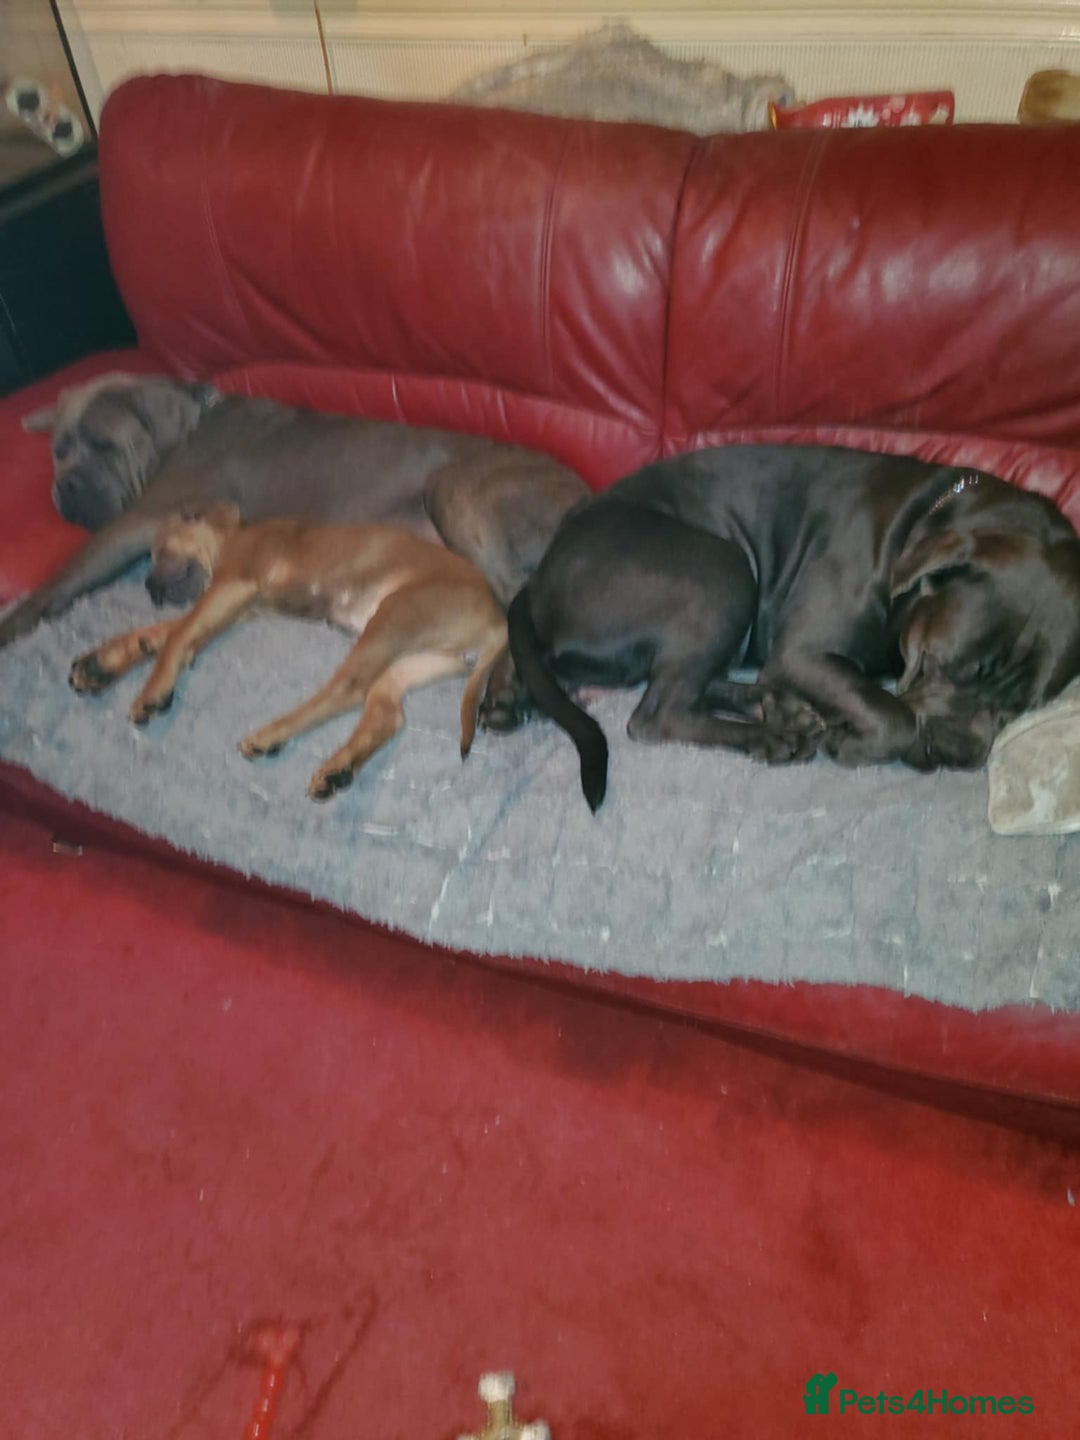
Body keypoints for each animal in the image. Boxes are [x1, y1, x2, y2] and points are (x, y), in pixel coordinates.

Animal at [0, 373, 587, 648]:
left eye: (102, 443)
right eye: (59, 449)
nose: (67, 488)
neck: (183, 429)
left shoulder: (136, 518)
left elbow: (62, 575)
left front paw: (15, 622)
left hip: (454, 489)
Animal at [69, 505, 508, 801]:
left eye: (160, 549)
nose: (148, 588)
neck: (235, 534)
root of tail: (497, 618)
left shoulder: (233, 584)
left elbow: (177, 637)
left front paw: (151, 690)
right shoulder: (239, 607)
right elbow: (168, 633)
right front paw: (102, 663)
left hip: (394, 617)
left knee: (345, 690)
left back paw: (271, 734)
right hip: (416, 660)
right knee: (387, 712)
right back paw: (338, 768)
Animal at [499, 444, 1080, 810]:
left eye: (1023, 706)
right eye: (936, 660)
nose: (955, 752)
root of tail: (540, 577)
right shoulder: (804, 653)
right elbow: (892, 713)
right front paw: (856, 742)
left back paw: (780, 710)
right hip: (723, 571)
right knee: (659, 713)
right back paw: (772, 734)